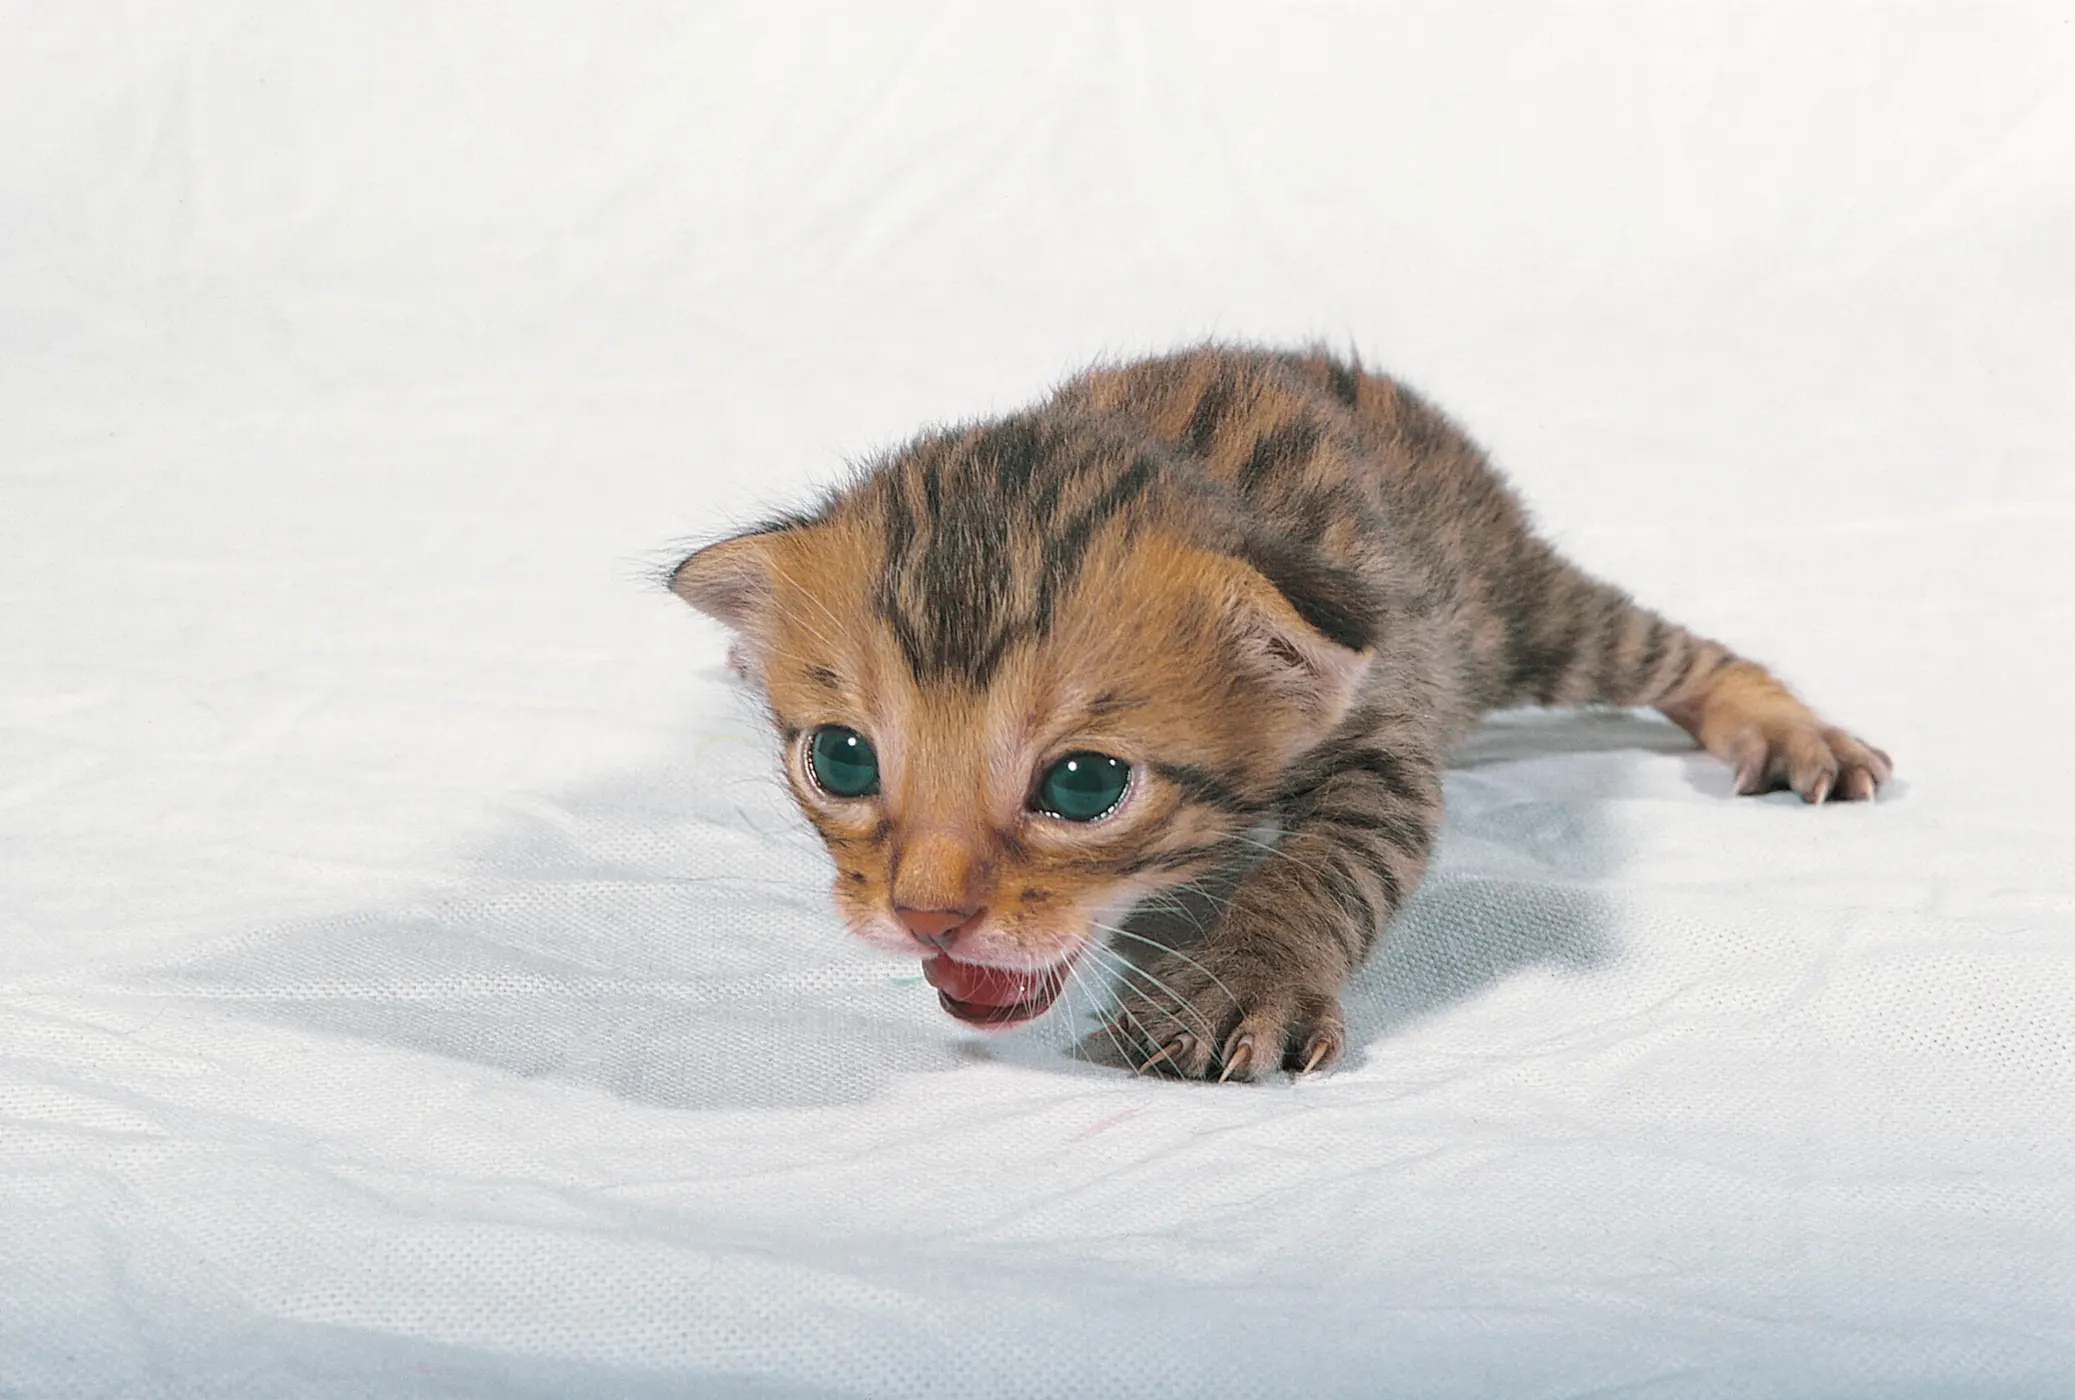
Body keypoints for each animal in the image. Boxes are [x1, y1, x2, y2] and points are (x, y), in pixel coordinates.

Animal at [669, 344, 1891, 1081]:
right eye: (842, 760)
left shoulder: (1383, 733)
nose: (925, 918)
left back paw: (1792, 729)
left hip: (1509, 610)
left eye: (1082, 783)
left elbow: (1327, 863)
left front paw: (1242, 979)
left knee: (1674, 650)